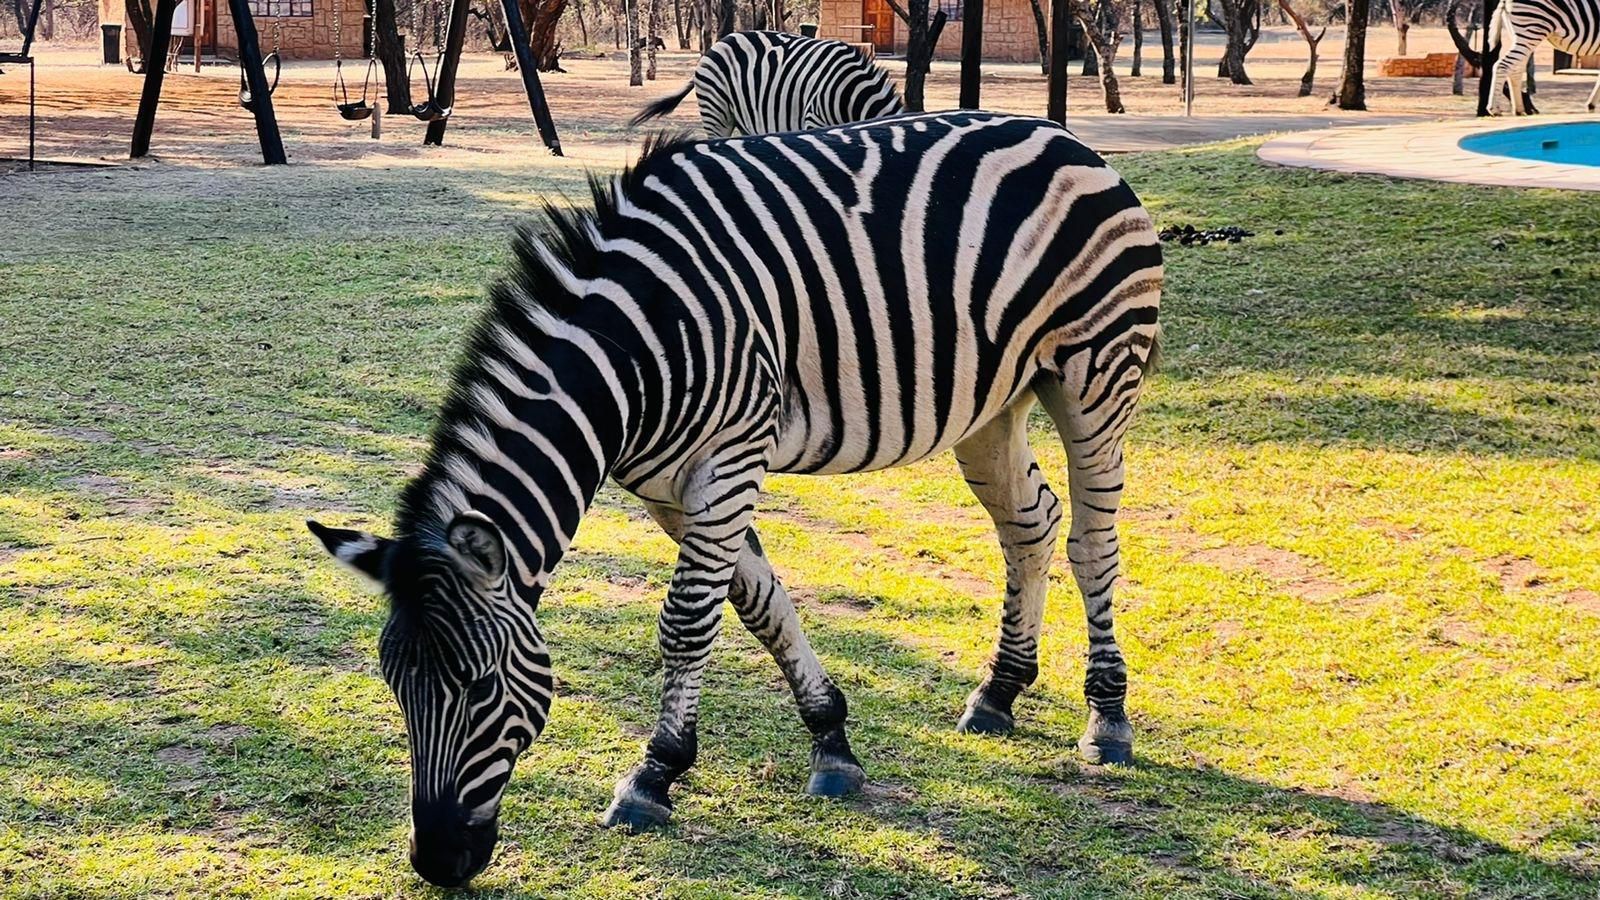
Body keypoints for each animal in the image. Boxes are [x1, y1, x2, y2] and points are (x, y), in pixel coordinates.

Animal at [312, 112, 1164, 883]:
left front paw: (653, 776)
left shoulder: (730, 458)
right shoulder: (669, 486)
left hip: (1094, 375)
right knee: (1030, 525)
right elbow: (760, 603)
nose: (437, 863)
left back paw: (1107, 715)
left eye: (481, 686)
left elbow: (687, 622)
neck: (632, 349)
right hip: (994, 404)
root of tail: (1063, 136)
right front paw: (831, 741)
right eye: (395, 687)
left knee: (1092, 542)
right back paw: (999, 692)